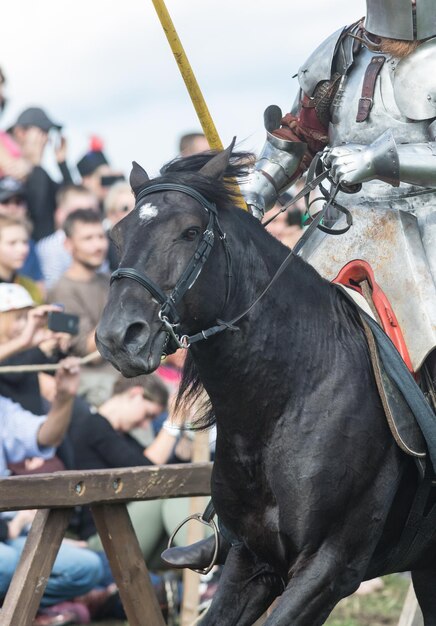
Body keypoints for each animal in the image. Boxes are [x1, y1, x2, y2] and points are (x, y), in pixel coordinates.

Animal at [95, 146, 436, 624]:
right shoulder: (252, 561)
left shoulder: (329, 568)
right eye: (118, 234)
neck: (284, 402)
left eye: (190, 232)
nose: (118, 338)